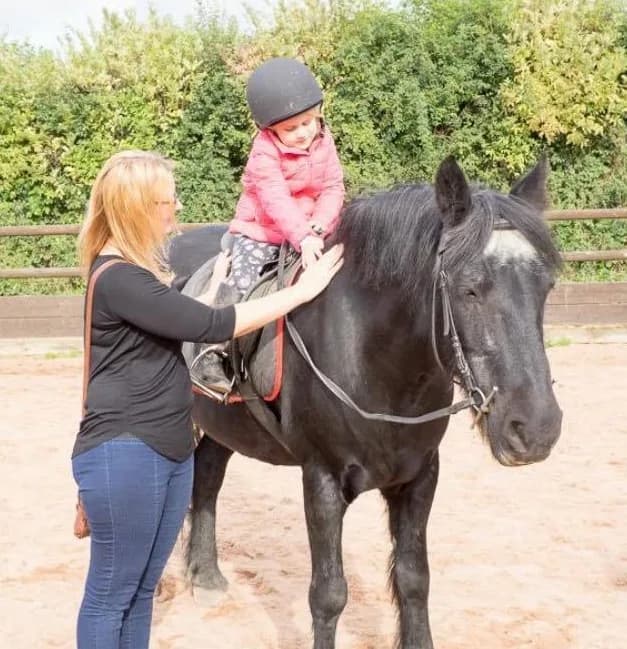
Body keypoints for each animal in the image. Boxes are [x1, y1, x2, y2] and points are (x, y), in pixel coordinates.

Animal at [169, 156, 562, 649]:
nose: (536, 428)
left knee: (207, 473)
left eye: (546, 286)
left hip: (227, 422)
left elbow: (414, 580)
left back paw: (204, 575)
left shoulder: (420, 476)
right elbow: (328, 594)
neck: (374, 362)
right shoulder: (321, 478)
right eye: (470, 289)